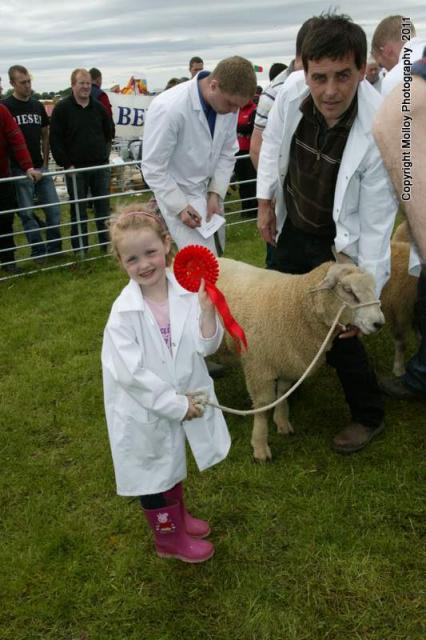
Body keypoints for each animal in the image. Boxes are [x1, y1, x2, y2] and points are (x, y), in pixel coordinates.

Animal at [216, 259, 384, 461]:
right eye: (349, 290)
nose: (379, 323)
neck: (295, 302)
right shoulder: (259, 368)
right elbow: (263, 407)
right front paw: (260, 447)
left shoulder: (287, 359)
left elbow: (282, 392)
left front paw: (282, 422)